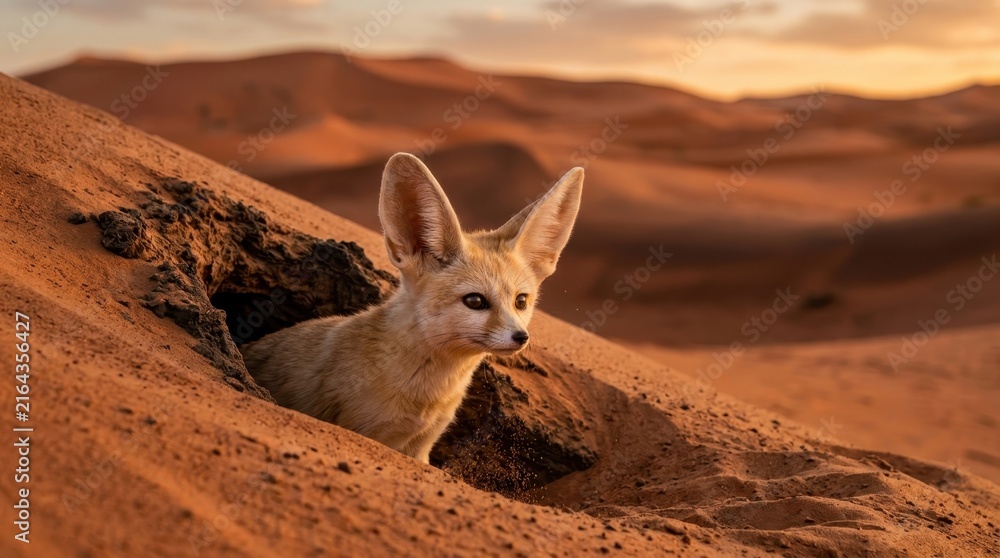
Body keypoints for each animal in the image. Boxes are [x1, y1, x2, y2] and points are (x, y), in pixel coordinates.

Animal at [241, 153, 583, 464]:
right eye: (475, 301)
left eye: (521, 301)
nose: (521, 337)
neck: (426, 395)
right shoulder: (363, 430)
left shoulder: (420, 448)